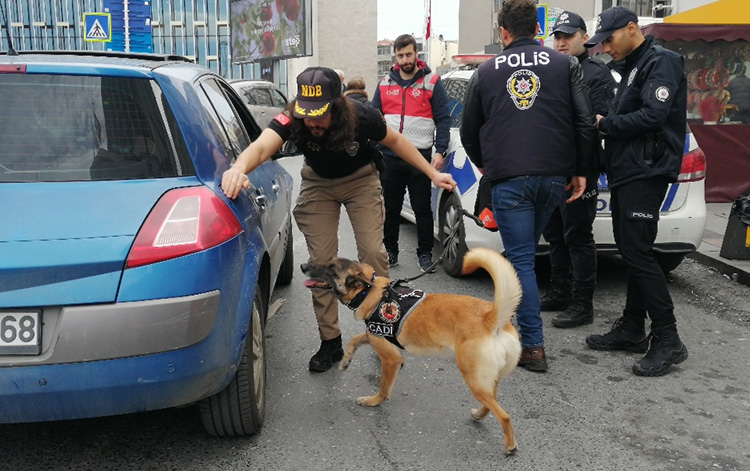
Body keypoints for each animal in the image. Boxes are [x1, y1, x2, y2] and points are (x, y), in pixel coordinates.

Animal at [300, 247, 524, 454]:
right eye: (328, 262)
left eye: (331, 268)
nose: (302, 266)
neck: (370, 293)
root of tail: (491, 318)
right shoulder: (374, 336)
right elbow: (355, 339)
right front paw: (345, 361)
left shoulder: (391, 358)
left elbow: (383, 388)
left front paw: (374, 401)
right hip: (486, 380)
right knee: (492, 402)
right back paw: (479, 414)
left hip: (473, 379)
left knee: (504, 415)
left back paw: (510, 445)